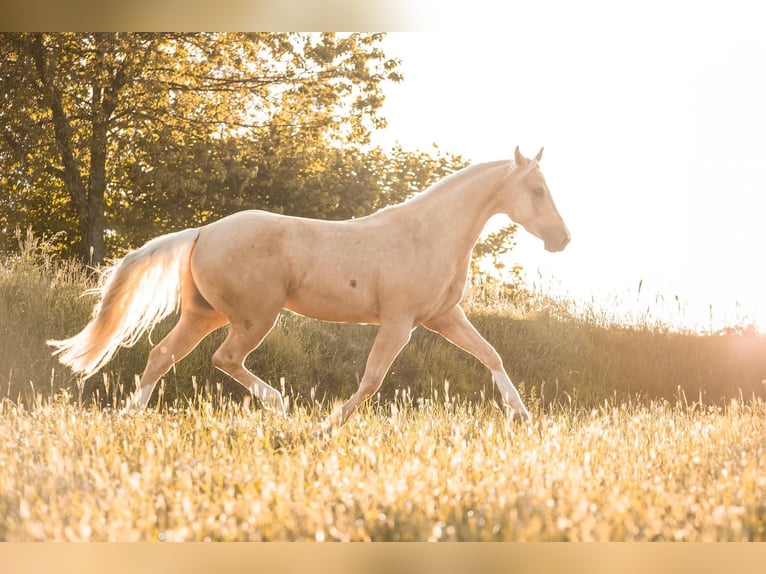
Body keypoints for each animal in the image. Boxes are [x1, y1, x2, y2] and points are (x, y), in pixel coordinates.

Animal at [48, 147, 568, 428]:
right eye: (538, 191)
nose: (563, 240)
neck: (428, 233)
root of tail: (203, 231)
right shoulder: (399, 322)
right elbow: (372, 379)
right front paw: (327, 425)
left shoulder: (443, 317)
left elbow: (491, 356)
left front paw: (523, 418)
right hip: (254, 318)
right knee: (223, 359)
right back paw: (281, 408)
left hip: (204, 314)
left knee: (161, 355)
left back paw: (129, 417)